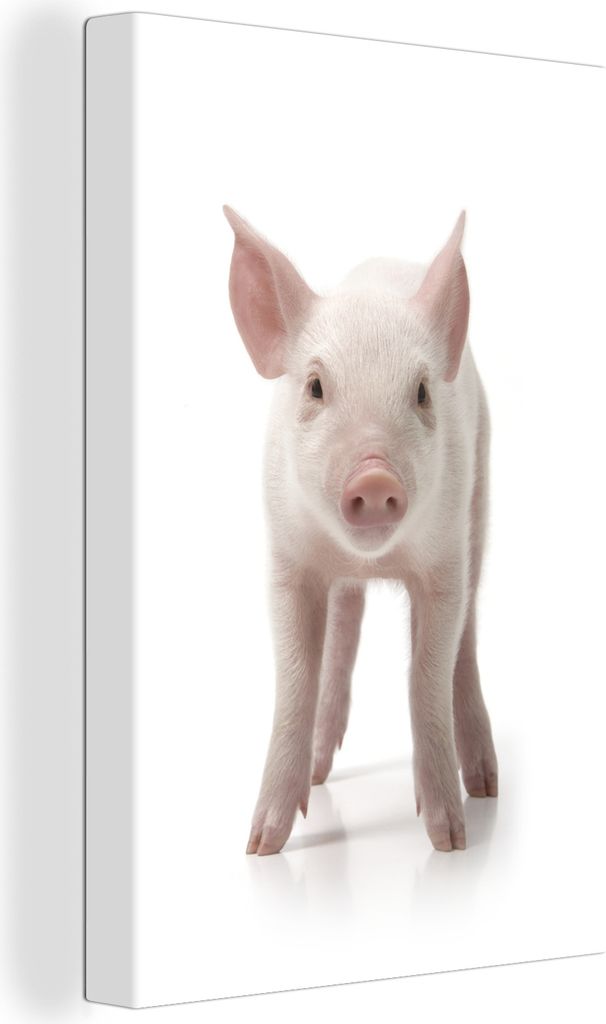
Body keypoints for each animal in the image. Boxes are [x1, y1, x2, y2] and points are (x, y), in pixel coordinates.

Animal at [223, 205, 498, 855]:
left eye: (421, 391)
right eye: (316, 387)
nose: (374, 475)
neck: (374, 560)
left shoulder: (444, 561)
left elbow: (427, 675)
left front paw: (450, 840)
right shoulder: (288, 559)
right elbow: (296, 678)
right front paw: (262, 845)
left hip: (479, 499)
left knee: (467, 638)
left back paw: (485, 787)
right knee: (345, 624)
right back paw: (323, 773)